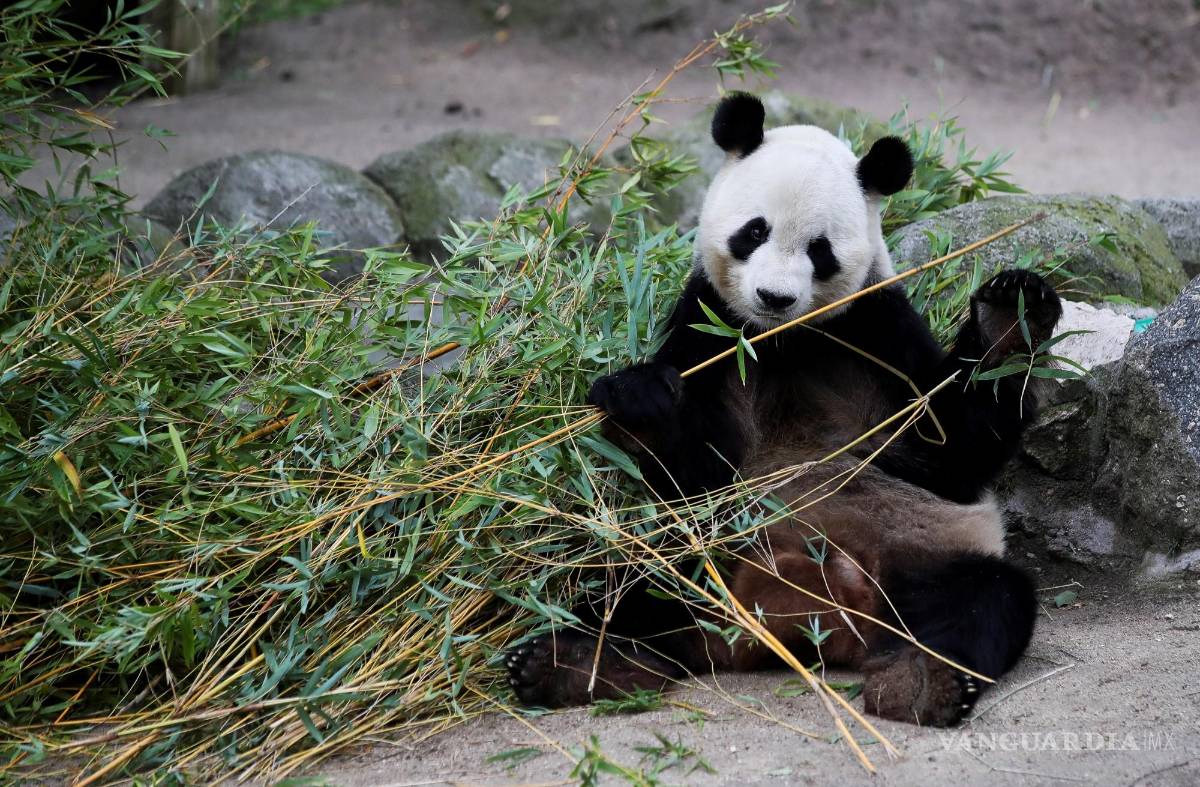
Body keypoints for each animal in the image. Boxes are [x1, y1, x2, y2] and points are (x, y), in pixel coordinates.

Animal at [506, 92, 1062, 726]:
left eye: (820, 250)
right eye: (755, 231)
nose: (774, 297)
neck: (780, 341)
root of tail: (801, 621)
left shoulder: (876, 329)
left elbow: (951, 454)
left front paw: (1009, 316)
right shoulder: (709, 328)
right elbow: (694, 477)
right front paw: (641, 399)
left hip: (919, 557)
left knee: (984, 598)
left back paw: (924, 680)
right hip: (705, 555)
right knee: (632, 580)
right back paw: (575, 663)